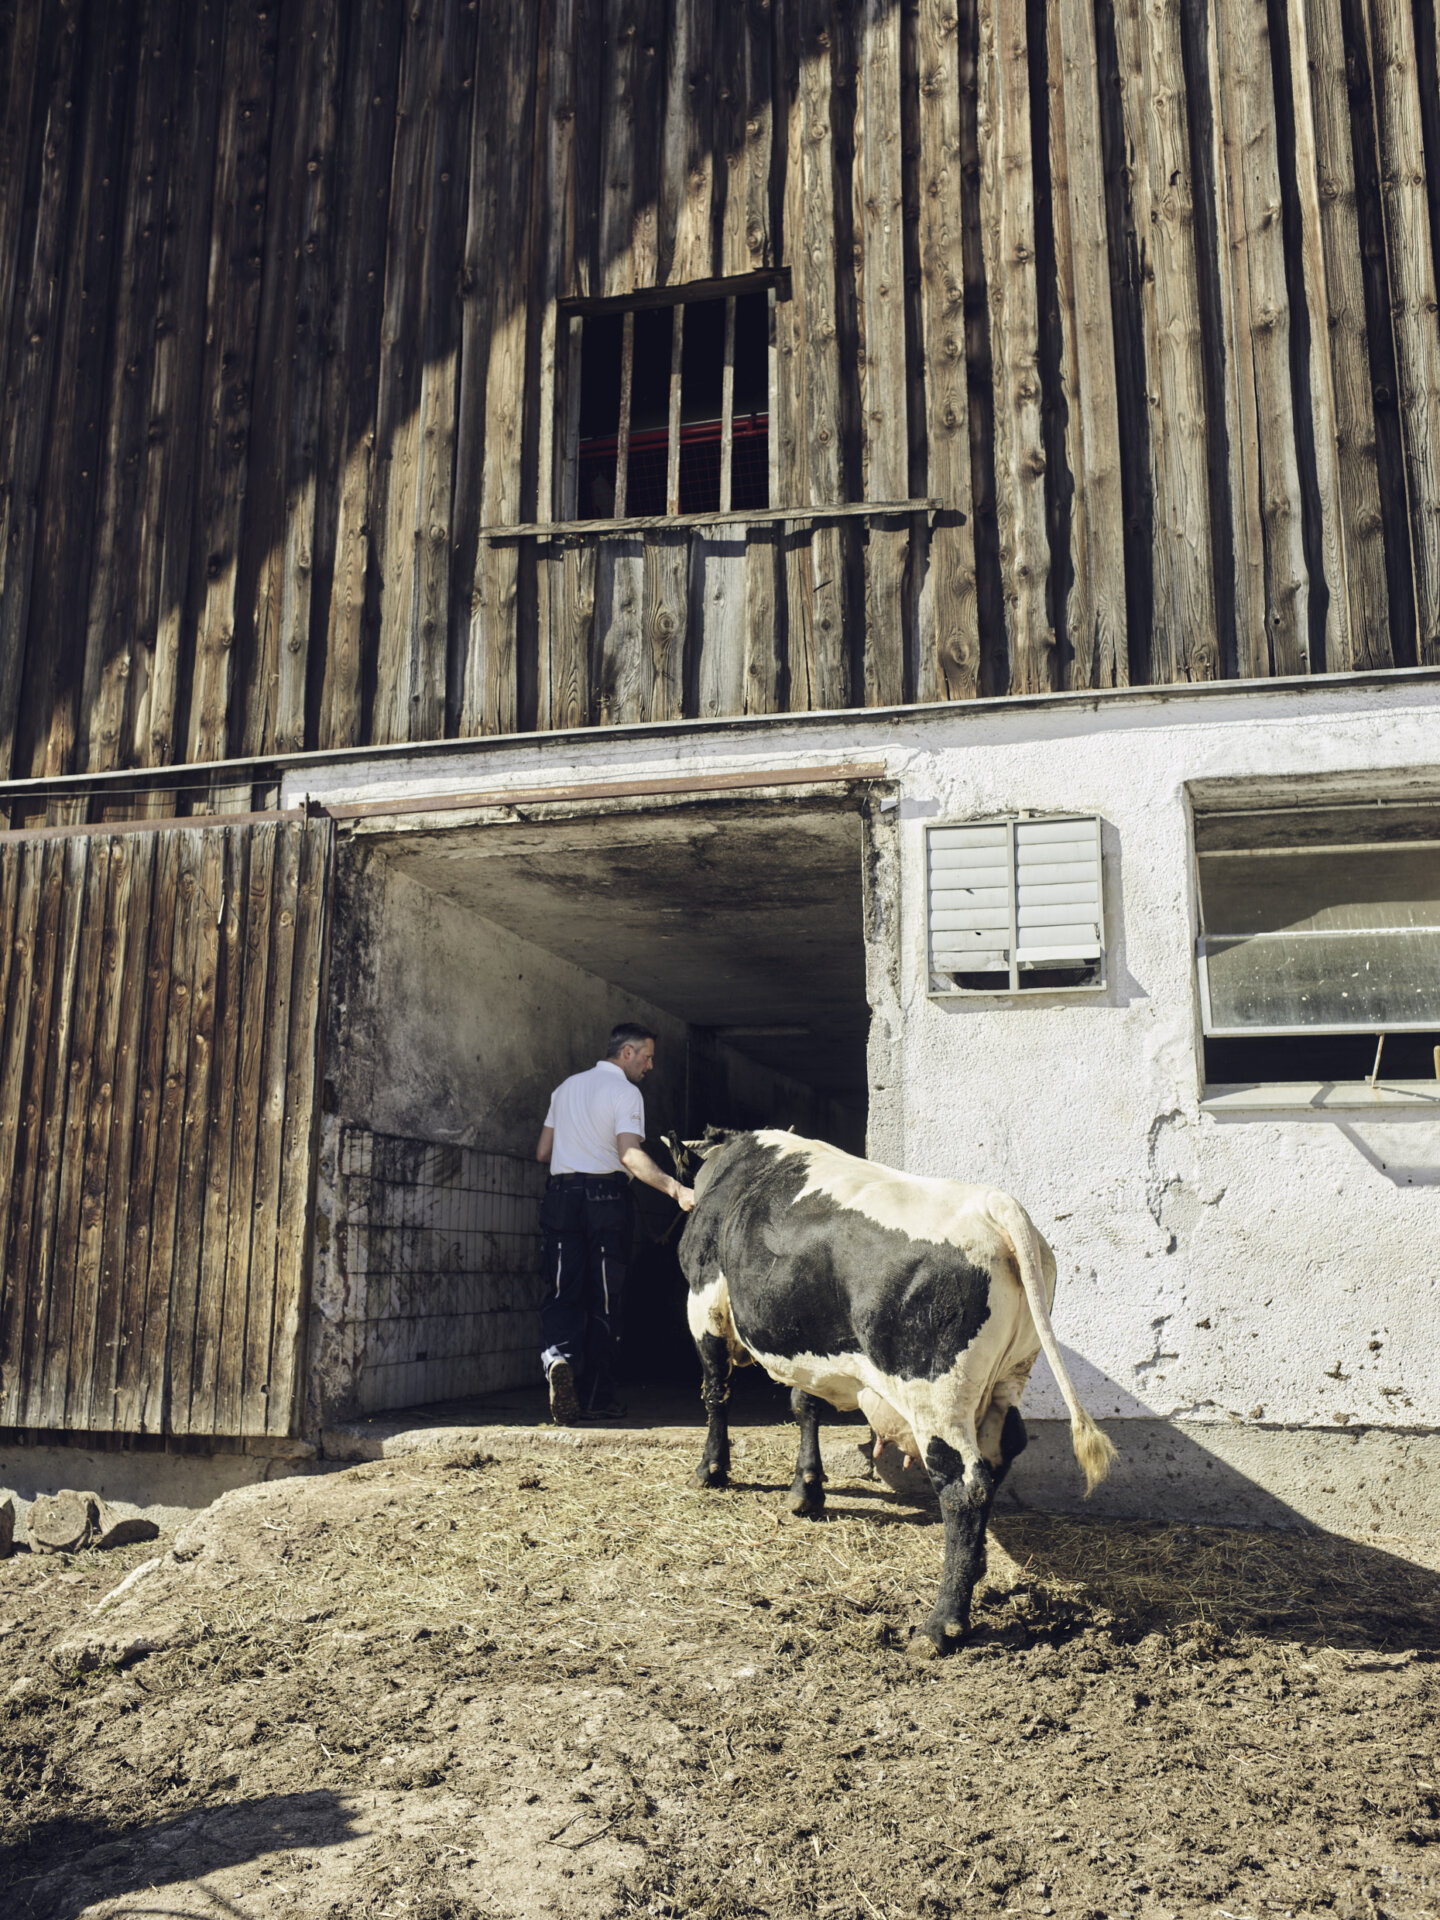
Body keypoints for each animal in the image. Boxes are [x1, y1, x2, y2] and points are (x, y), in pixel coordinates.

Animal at [675, 1128, 1113, 1658]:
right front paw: (806, 1490)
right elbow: (805, 1405)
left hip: (936, 1395)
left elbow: (716, 1393)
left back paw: (941, 1625)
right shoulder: (809, 1346)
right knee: (1003, 1450)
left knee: (965, 1485)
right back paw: (974, 1570)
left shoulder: (704, 1303)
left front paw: (711, 1469)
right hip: (1009, 1375)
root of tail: (994, 1204)